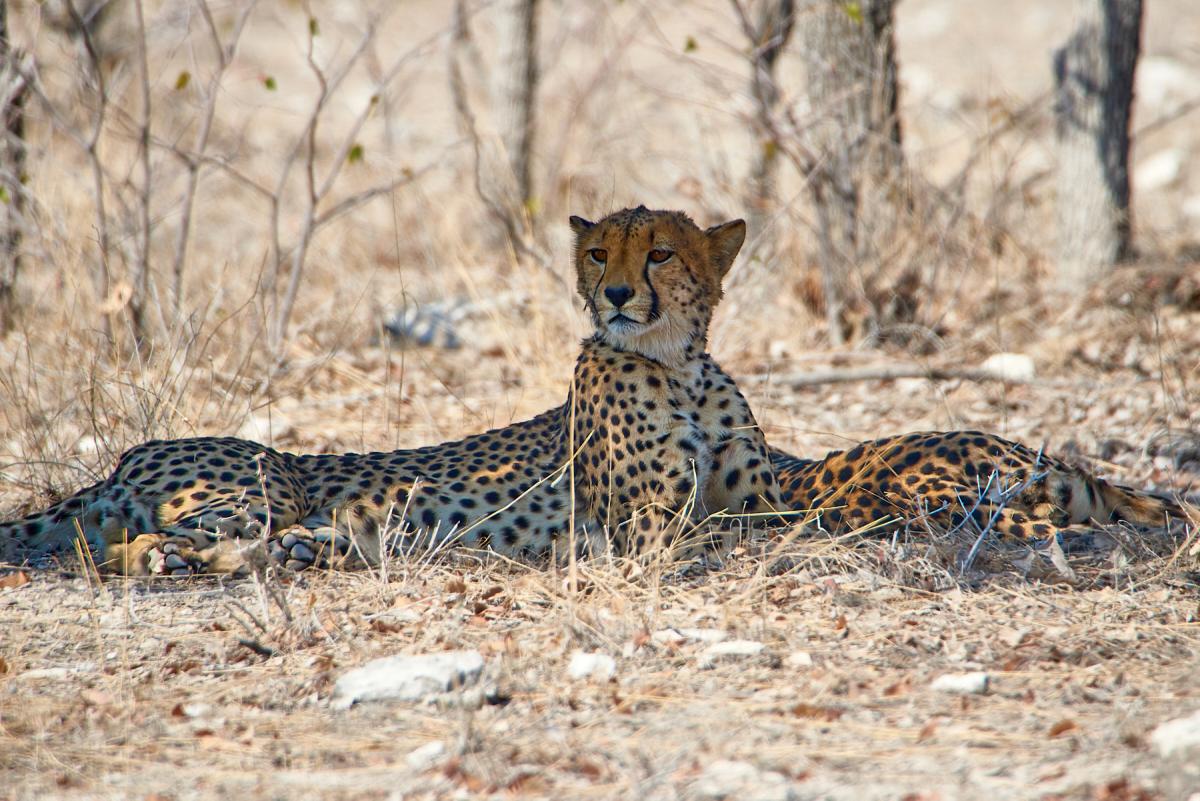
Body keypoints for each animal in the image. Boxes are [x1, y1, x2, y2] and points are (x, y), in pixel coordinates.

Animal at [0, 206, 785, 575]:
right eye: (598, 253)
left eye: (661, 254)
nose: (616, 294)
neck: (678, 365)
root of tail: (128, 455)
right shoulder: (646, 523)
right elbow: (723, 536)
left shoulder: (754, 500)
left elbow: (769, 524)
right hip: (262, 489)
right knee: (136, 545)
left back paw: (315, 547)